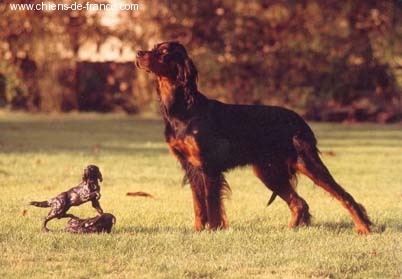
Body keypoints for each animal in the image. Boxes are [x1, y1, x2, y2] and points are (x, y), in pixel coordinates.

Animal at [137, 41, 372, 234]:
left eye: (164, 52)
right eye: (154, 47)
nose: (139, 53)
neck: (183, 108)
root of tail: (299, 119)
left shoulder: (208, 167)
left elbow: (211, 205)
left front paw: (212, 231)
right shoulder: (191, 167)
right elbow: (198, 205)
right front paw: (198, 231)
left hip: (306, 162)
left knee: (345, 196)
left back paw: (363, 228)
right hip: (268, 171)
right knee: (299, 203)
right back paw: (290, 230)